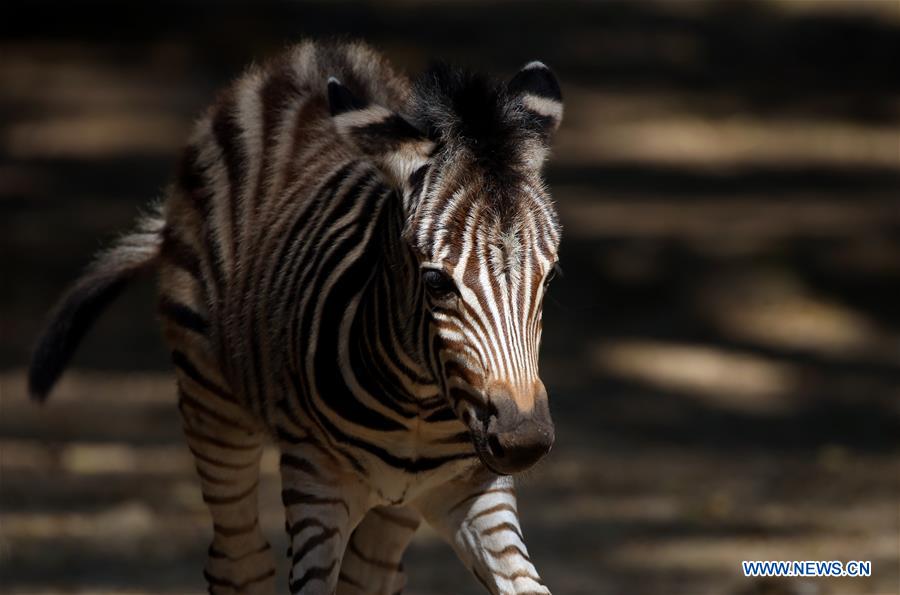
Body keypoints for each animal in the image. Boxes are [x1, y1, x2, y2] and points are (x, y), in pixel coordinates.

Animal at [28, 40, 564, 594]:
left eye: (550, 278)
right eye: (437, 283)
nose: (524, 441)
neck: (416, 402)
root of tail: (299, 60)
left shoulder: (475, 490)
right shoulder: (316, 482)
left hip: (396, 505)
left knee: (370, 576)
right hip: (212, 406)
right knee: (239, 562)